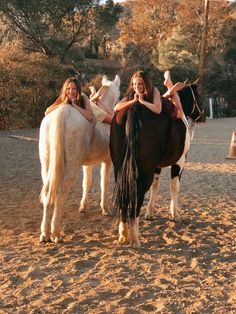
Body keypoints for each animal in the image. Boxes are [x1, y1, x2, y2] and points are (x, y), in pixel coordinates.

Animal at [39, 74, 120, 243]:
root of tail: (62, 113)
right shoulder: (107, 161)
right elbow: (104, 183)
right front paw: (105, 208)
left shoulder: (86, 164)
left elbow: (86, 183)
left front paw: (83, 207)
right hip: (70, 167)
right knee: (60, 193)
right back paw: (56, 233)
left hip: (47, 166)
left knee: (48, 192)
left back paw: (45, 233)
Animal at [110, 81, 205, 248]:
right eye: (198, 98)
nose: (204, 116)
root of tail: (135, 108)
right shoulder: (180, 162)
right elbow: (174, 187)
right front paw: (175, 214)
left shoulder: (156, 166)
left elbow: (156, 186)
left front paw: (150, 213)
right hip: (143, 172)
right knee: (137, 195)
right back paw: (135, 237)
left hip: (121, 170)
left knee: (125, 194)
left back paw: (123, 233)